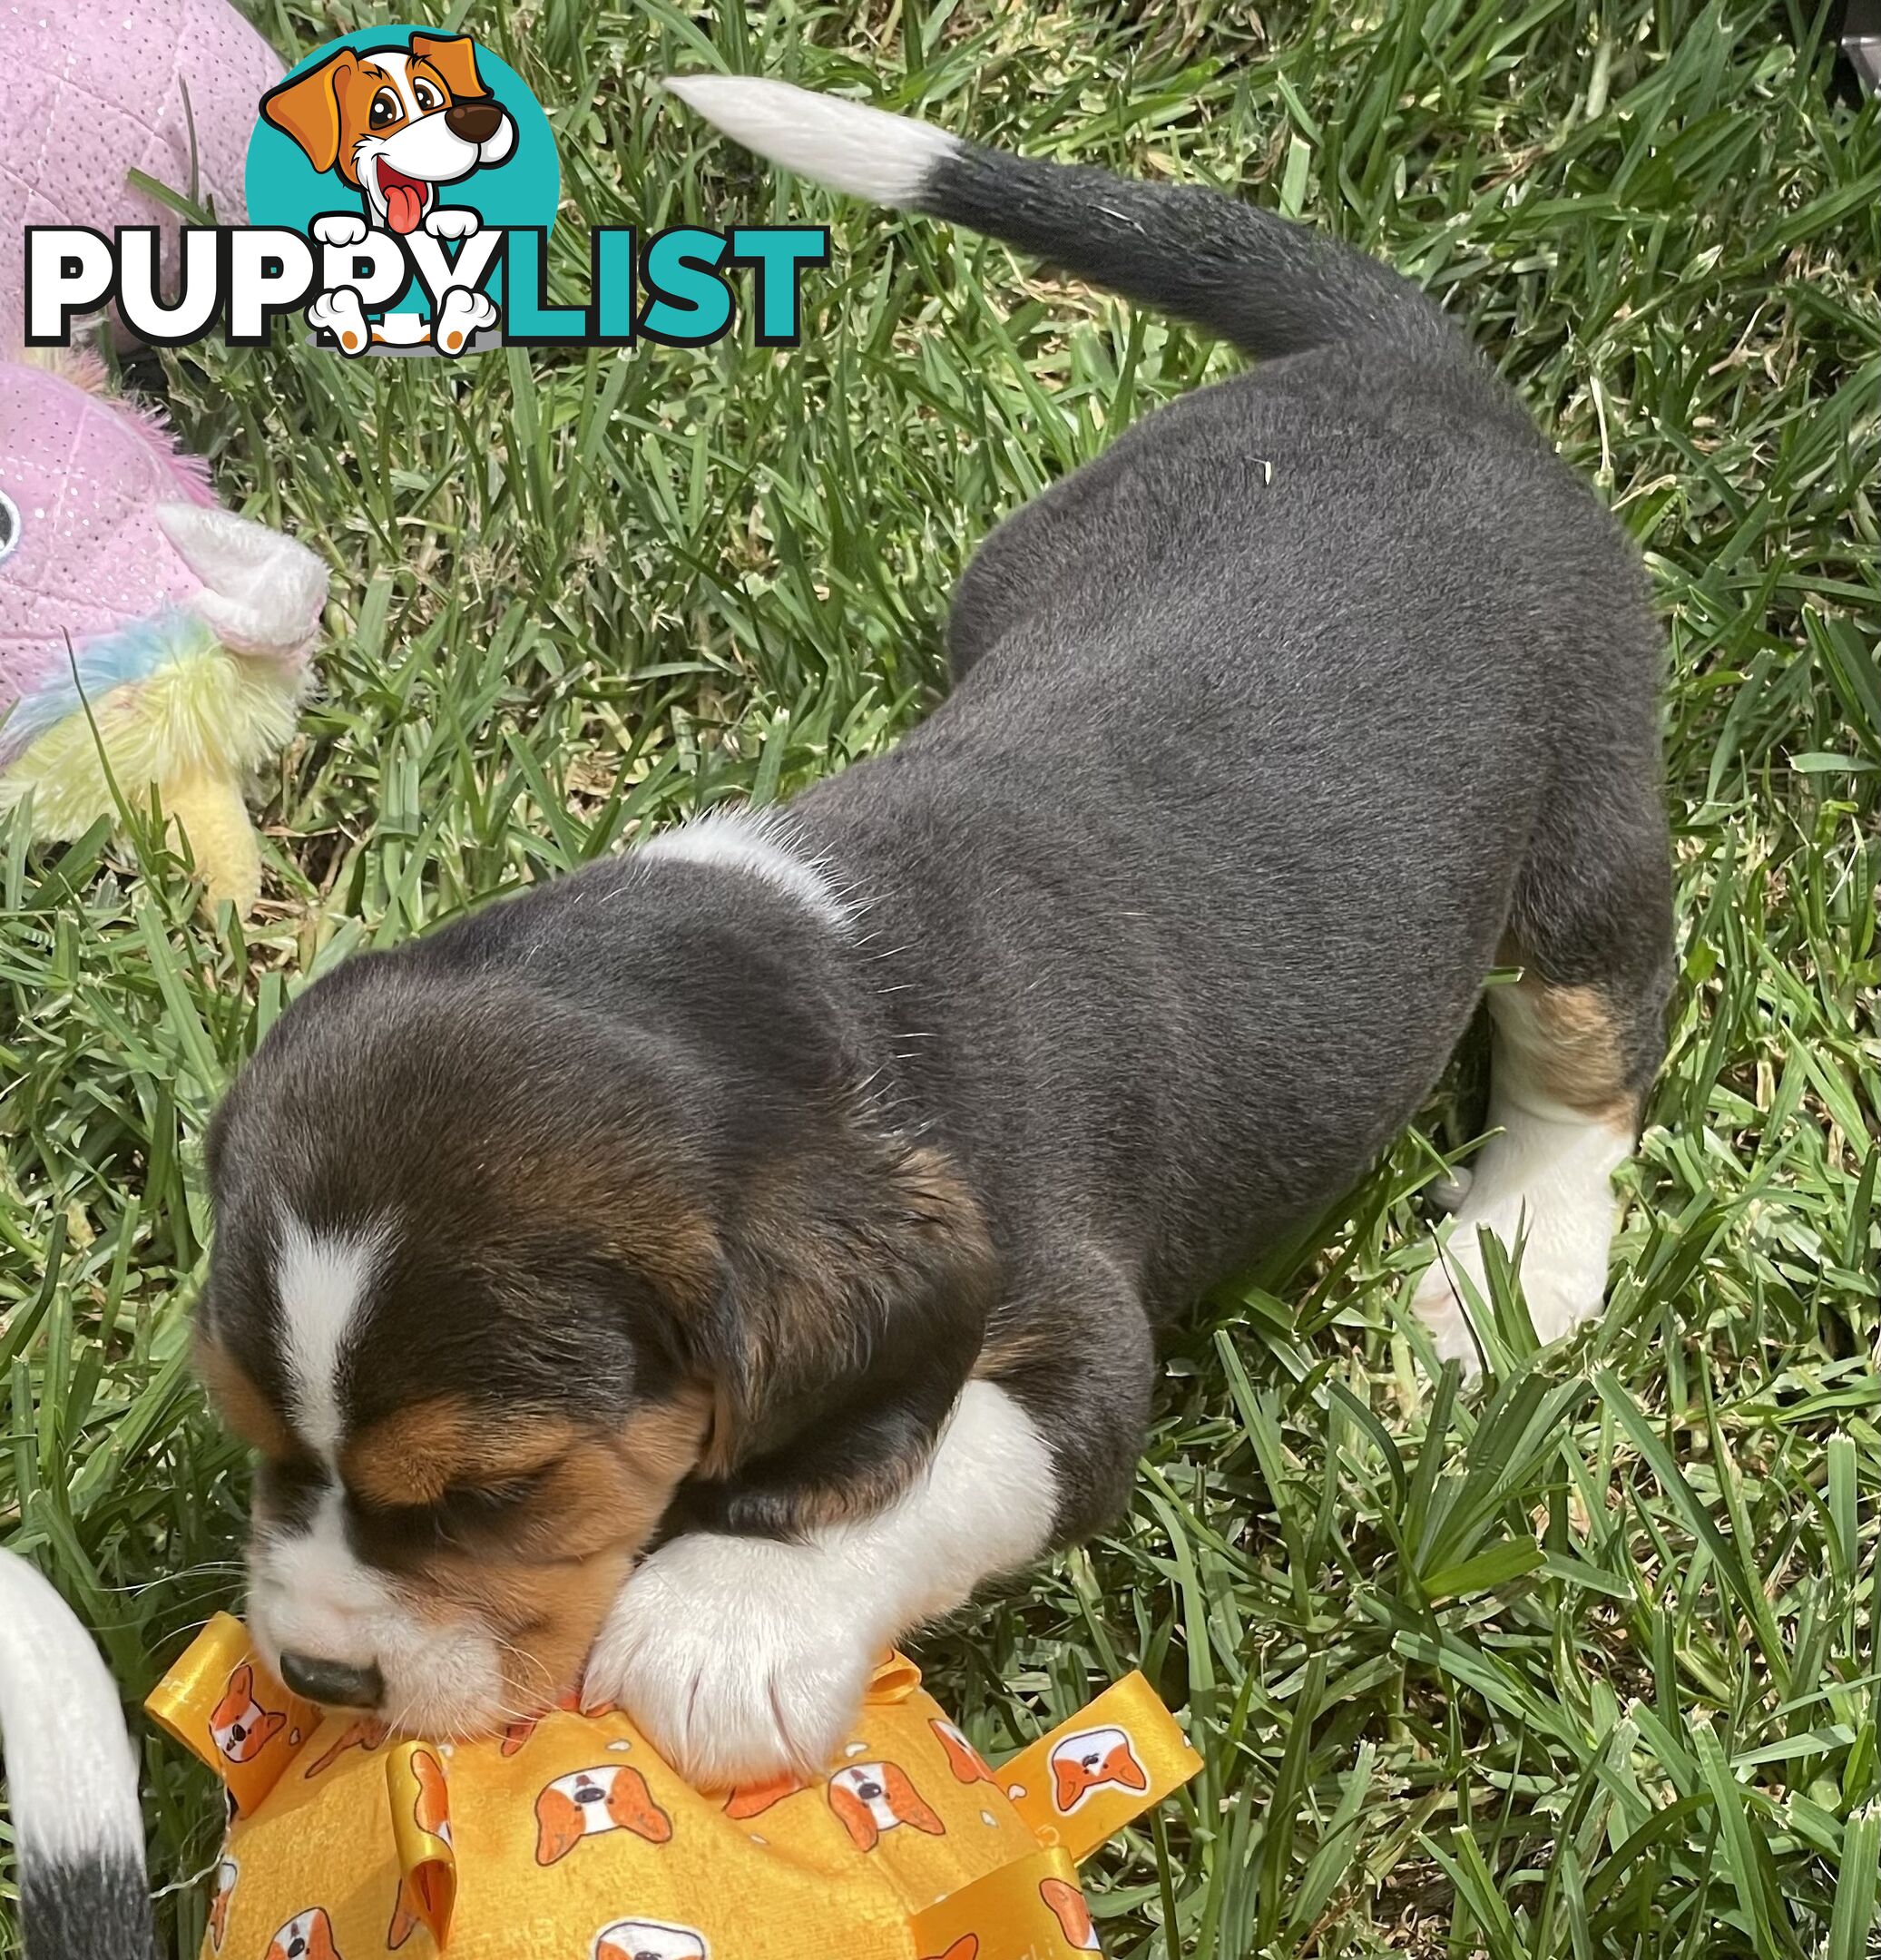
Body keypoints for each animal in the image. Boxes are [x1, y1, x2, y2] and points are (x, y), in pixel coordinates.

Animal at [198, 76, 1669, 1787]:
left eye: (495, 1490)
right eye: (246, 1432)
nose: (319, 1674)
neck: (785, 971)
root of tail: (1413, 369)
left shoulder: (1077, 1349)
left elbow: (945, 1459)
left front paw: (728, 1620)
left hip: (1582, 842)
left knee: (1593, 1051)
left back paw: (1519, 1255)